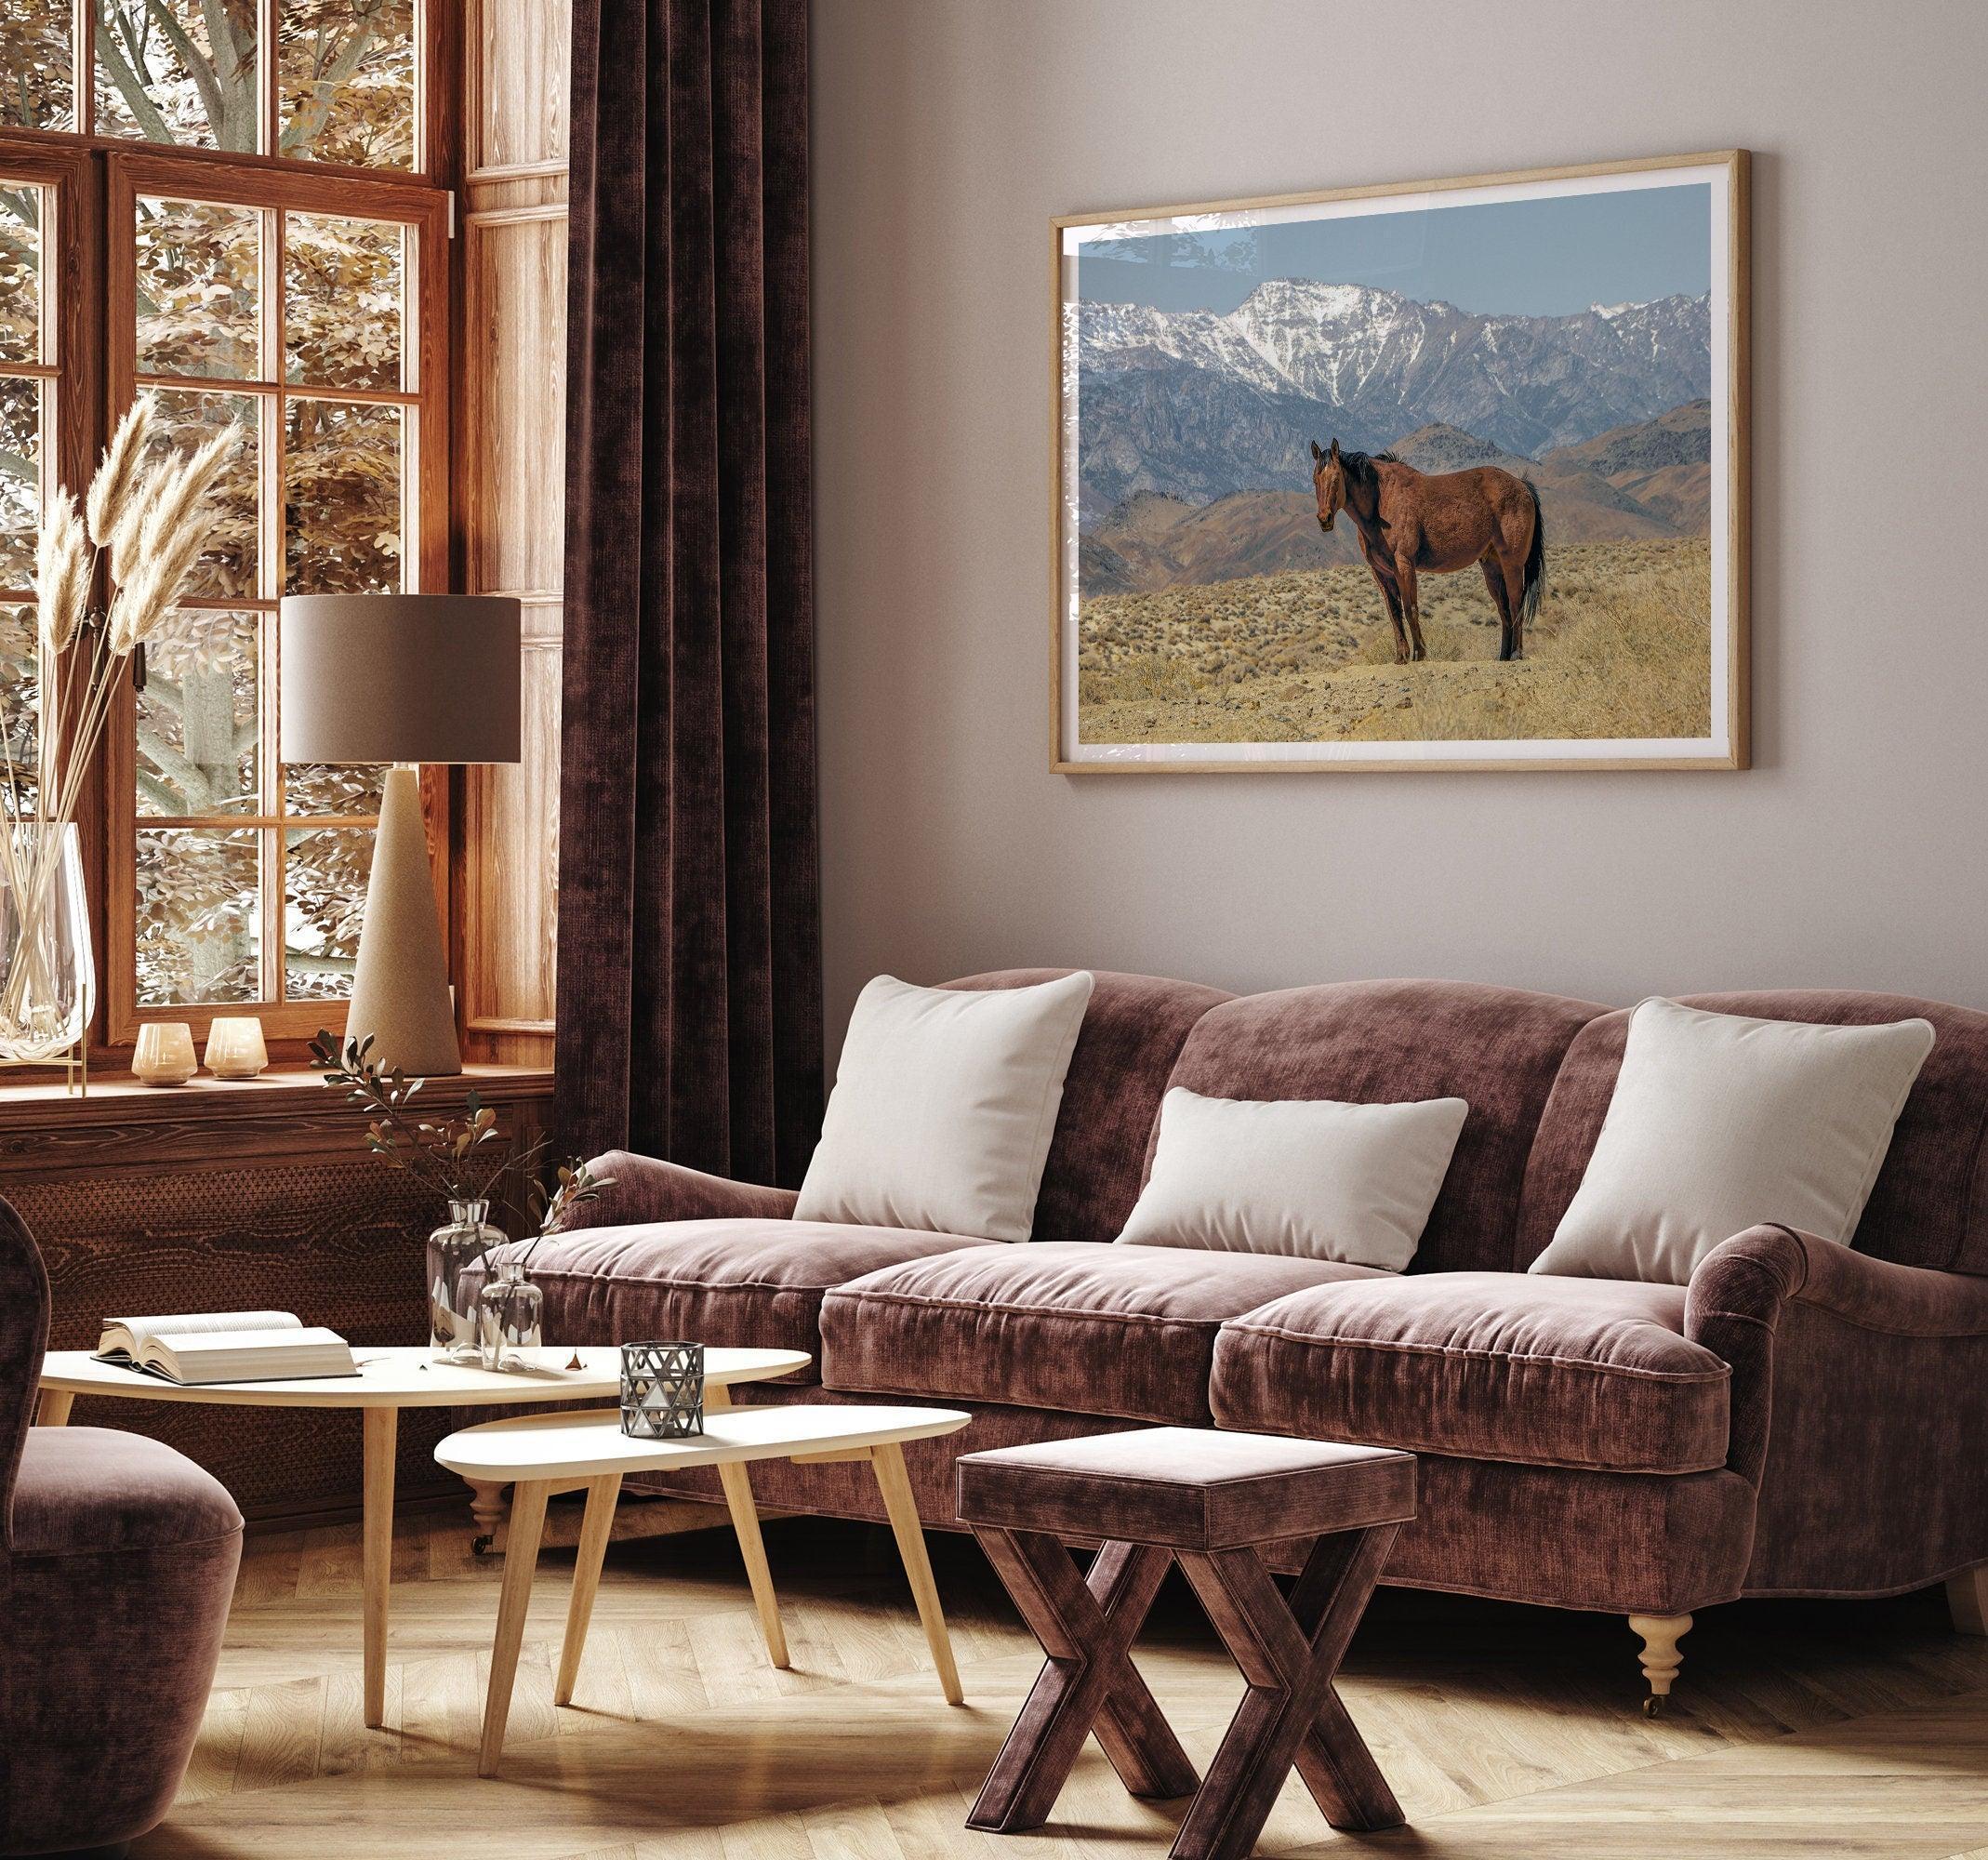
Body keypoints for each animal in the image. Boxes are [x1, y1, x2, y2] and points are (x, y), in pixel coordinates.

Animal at [1312, 437, 1543, 664]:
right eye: (1315, 480)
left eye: (1336, 479)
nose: (1324, 519)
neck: (1383, 500)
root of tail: (1522, 486)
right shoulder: (1381, 572)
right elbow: (1393, 612)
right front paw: (1401, 656)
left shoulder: (1404, 565)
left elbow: (1410, 608)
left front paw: (1418, 654)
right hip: (1492, 566)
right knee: (1503, 608)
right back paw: (1503, 656)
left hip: (1512, 564)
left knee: (1515, 603)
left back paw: (1516, 654)